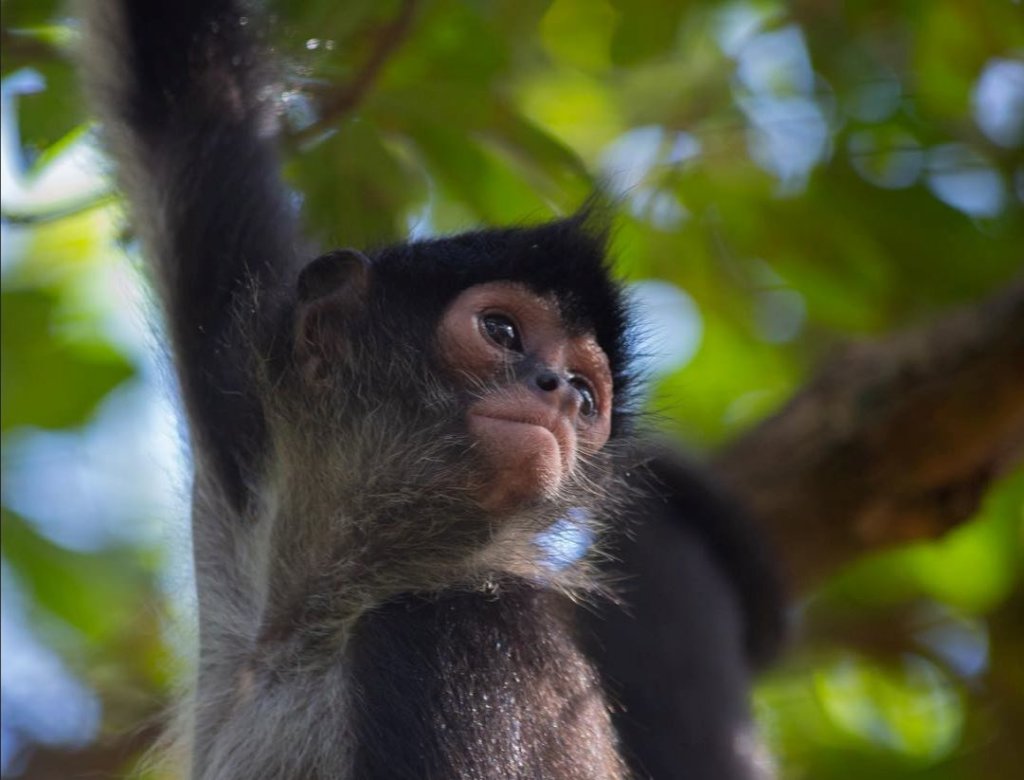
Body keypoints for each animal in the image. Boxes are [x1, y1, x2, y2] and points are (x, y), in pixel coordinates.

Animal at [81, 1, 782, 777]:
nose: (557, 394)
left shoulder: (466, 627)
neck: (313, 618)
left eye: (585, 393)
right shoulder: (243, 439)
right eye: (502, 331)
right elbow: (184, 90)